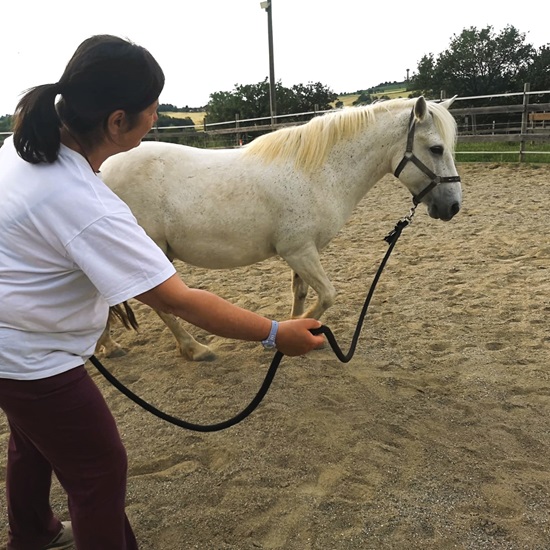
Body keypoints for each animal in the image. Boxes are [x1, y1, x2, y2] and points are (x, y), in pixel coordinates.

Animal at [97, 96, 464, 362]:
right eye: (436, 148)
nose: (453, 206)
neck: (318, 172)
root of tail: (101, 171)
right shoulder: (298, 251)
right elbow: (327, 295)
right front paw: (294, 334)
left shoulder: (303, 252)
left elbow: (300, 294)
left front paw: (299, 335)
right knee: (159, 306)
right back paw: (193, 349)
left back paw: (109, 346)